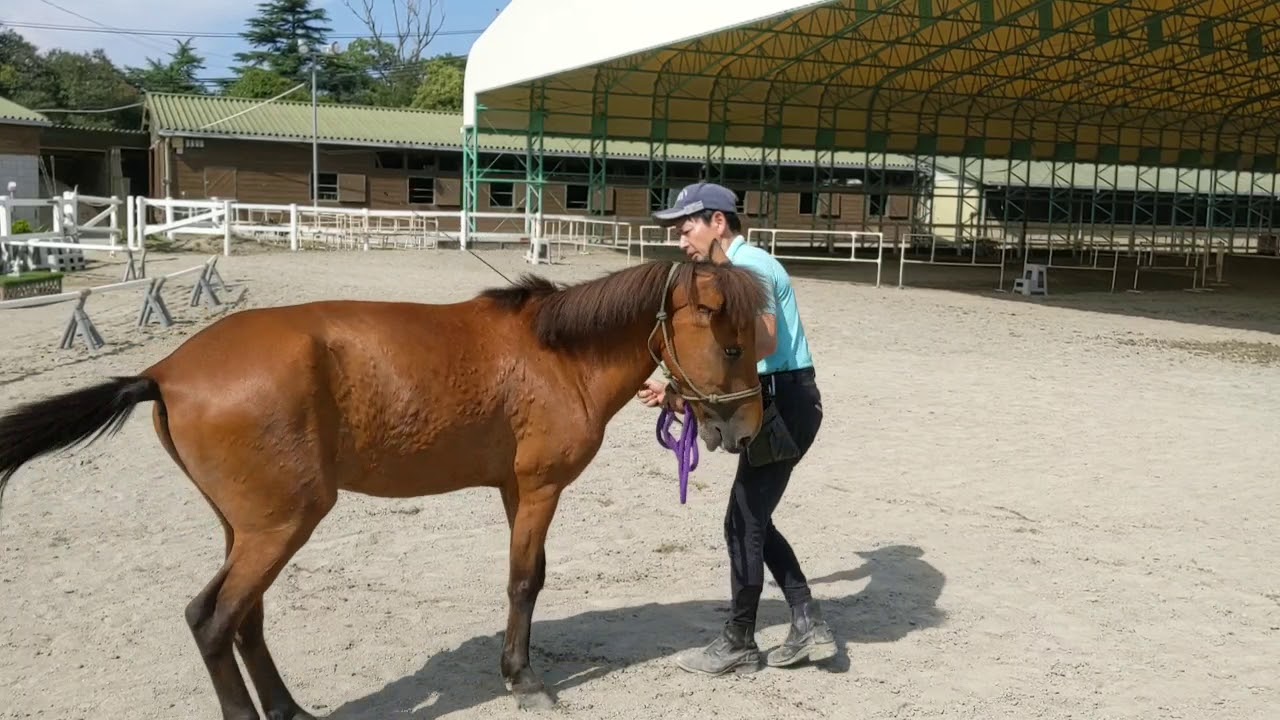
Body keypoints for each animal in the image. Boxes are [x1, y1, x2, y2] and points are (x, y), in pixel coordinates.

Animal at [0, 258, 768, 719]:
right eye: (732, 346)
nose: (750, 430)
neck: (556, 354)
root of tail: (164, 370)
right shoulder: (539, 488)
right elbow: (525, 582)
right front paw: (523, 680)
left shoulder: (514, 492)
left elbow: (527, 579)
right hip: (281, 527)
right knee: (212, 620)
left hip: (247, 529)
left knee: (243, 619)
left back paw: (288, 709)